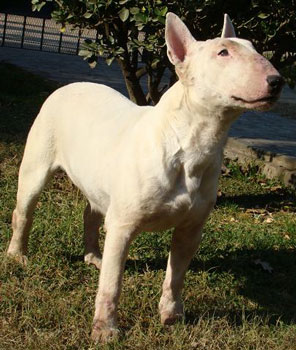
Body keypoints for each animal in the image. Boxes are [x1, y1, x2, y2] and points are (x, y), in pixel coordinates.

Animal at [8, 13, 284, 342]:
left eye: (253, 47)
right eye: (223, 52)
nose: (277, 81)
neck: (190, 143)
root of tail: (70, 85)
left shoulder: (191, 228)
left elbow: (176, 275)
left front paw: (171, 316)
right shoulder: (122, 226)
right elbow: (112, 283)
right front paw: (105, 329)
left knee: (91, 213)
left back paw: (93, 255)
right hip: (37, 165)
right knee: (24, 210)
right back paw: (17, 255)